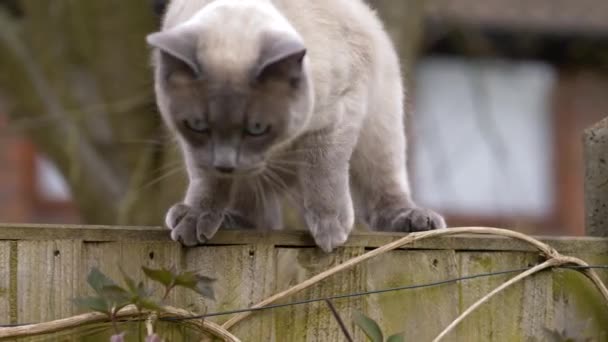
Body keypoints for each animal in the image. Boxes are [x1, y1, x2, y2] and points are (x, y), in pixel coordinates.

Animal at [145, 0, 444, 251]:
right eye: (198, 125)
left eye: (257, 128)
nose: (226, 164)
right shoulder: (195, 146)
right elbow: (208, 181)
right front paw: (196, 218)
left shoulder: (335, 113)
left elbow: (323, 170)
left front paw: (329, 231)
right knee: (259, 215)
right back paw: (223, 219)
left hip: (380, 133)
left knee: (383, 192)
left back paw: (417, 220)